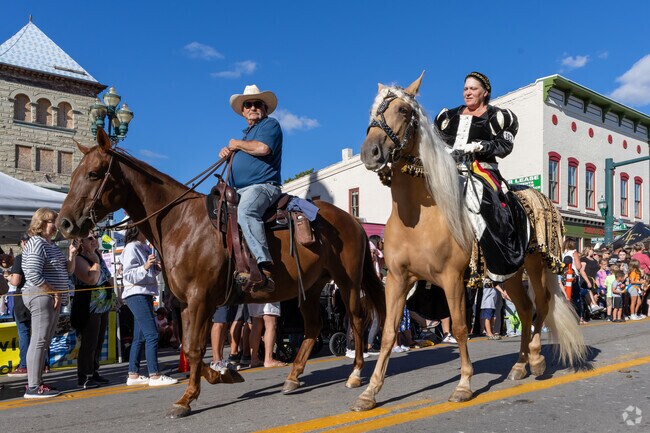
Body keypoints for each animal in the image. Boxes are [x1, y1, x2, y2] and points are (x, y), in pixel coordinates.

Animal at [56, 128, 386, 418]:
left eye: (93, 174)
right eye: (72, 175)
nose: (65, 224)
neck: (181, 223)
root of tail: (351, 220)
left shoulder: (200, 298)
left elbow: (193, 347)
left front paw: (190, 396)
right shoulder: (188, 304)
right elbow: (192, 348)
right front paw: (219, 377)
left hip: (347, 282)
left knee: (357, 320)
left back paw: (355, 373)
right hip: (312, 287)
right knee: (314, 327)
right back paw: (293, 376)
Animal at [351, 73, 587, 411]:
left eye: (403, 110)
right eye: (373, 111)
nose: (371, 153)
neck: (419, 217)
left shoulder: (451, 278)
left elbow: (461, 328)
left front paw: (463, 385)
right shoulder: (396, 279)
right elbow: (388, 333)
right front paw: (369, 392)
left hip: (536, 265)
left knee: (541, 305)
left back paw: (537, 360)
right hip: (509, 272)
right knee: (525, 309)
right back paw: (519, 366)